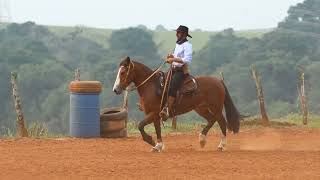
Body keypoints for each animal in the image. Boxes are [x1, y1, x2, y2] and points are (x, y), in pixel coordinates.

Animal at [112, 56, 240, 152]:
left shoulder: (154, 113)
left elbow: (140, 125)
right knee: (212, 120)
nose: (115, 89)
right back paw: (202, 140)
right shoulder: (155, 115)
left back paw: (221, 145)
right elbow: (157, 129)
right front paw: (158, 145)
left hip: (216, 108)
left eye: (123, 72)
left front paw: (150, 140)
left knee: (222, 122)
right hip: (201, 109)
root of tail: (219, 81)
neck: (151, 86)